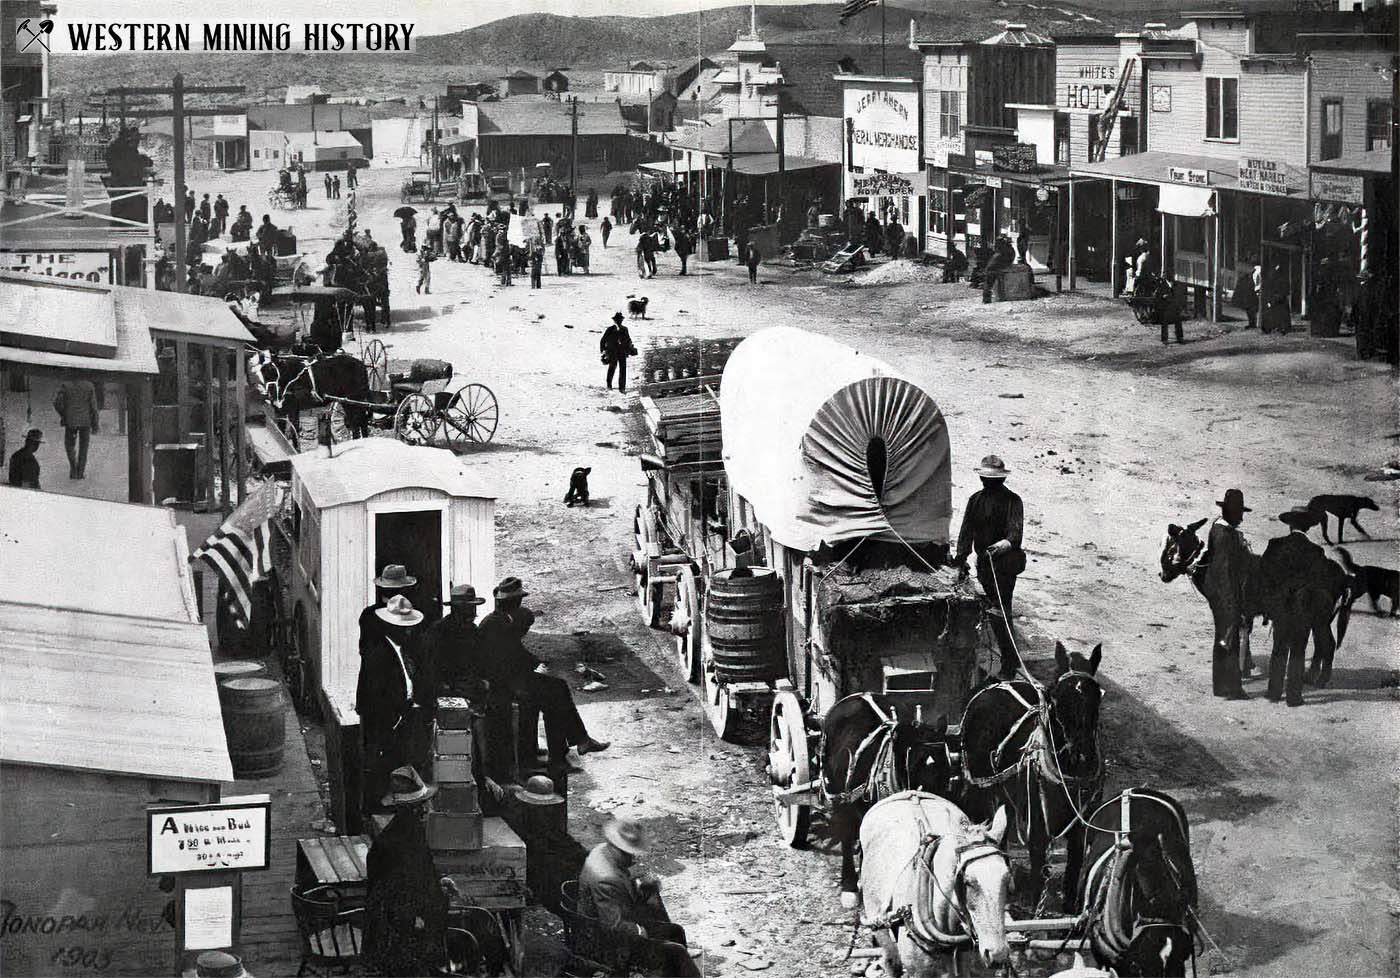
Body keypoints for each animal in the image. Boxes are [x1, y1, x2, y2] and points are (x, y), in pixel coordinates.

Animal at [963, 646, 1103, 912]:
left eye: (1097, 697)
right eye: (1055, 697)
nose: (1080, 755)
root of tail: (996, 686)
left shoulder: (1080, 829)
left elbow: (1073, 871)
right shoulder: (1038, 829)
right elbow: (1038, 876)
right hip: (982, 787)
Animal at [1153, 520, 1349, 688]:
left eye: (1170, 549)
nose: (1162, 575)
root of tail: (1342, 576)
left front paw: (1242, 670)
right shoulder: (1246, 614)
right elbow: (1245, 635)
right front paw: (1247, 667)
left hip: (1321, 619)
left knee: (1328, 644)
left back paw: (1321, 680)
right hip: (1320, 620)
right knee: (1320, 645)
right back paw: (1309, 677)